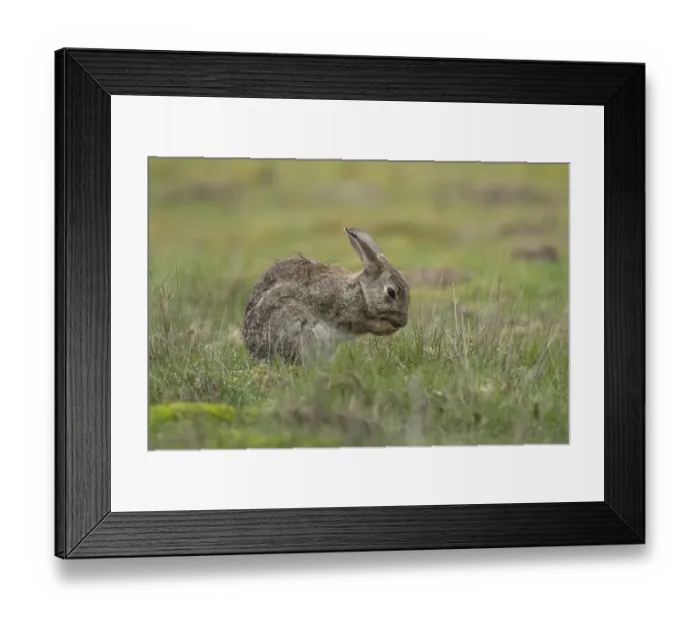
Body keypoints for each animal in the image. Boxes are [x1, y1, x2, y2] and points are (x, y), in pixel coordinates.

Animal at [241, 227, 410, 365]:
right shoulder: (344, 312)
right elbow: (364, 324)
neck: (361, 291)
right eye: (391, 292)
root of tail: (255, 351)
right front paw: (387, 328)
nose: (403, 323)